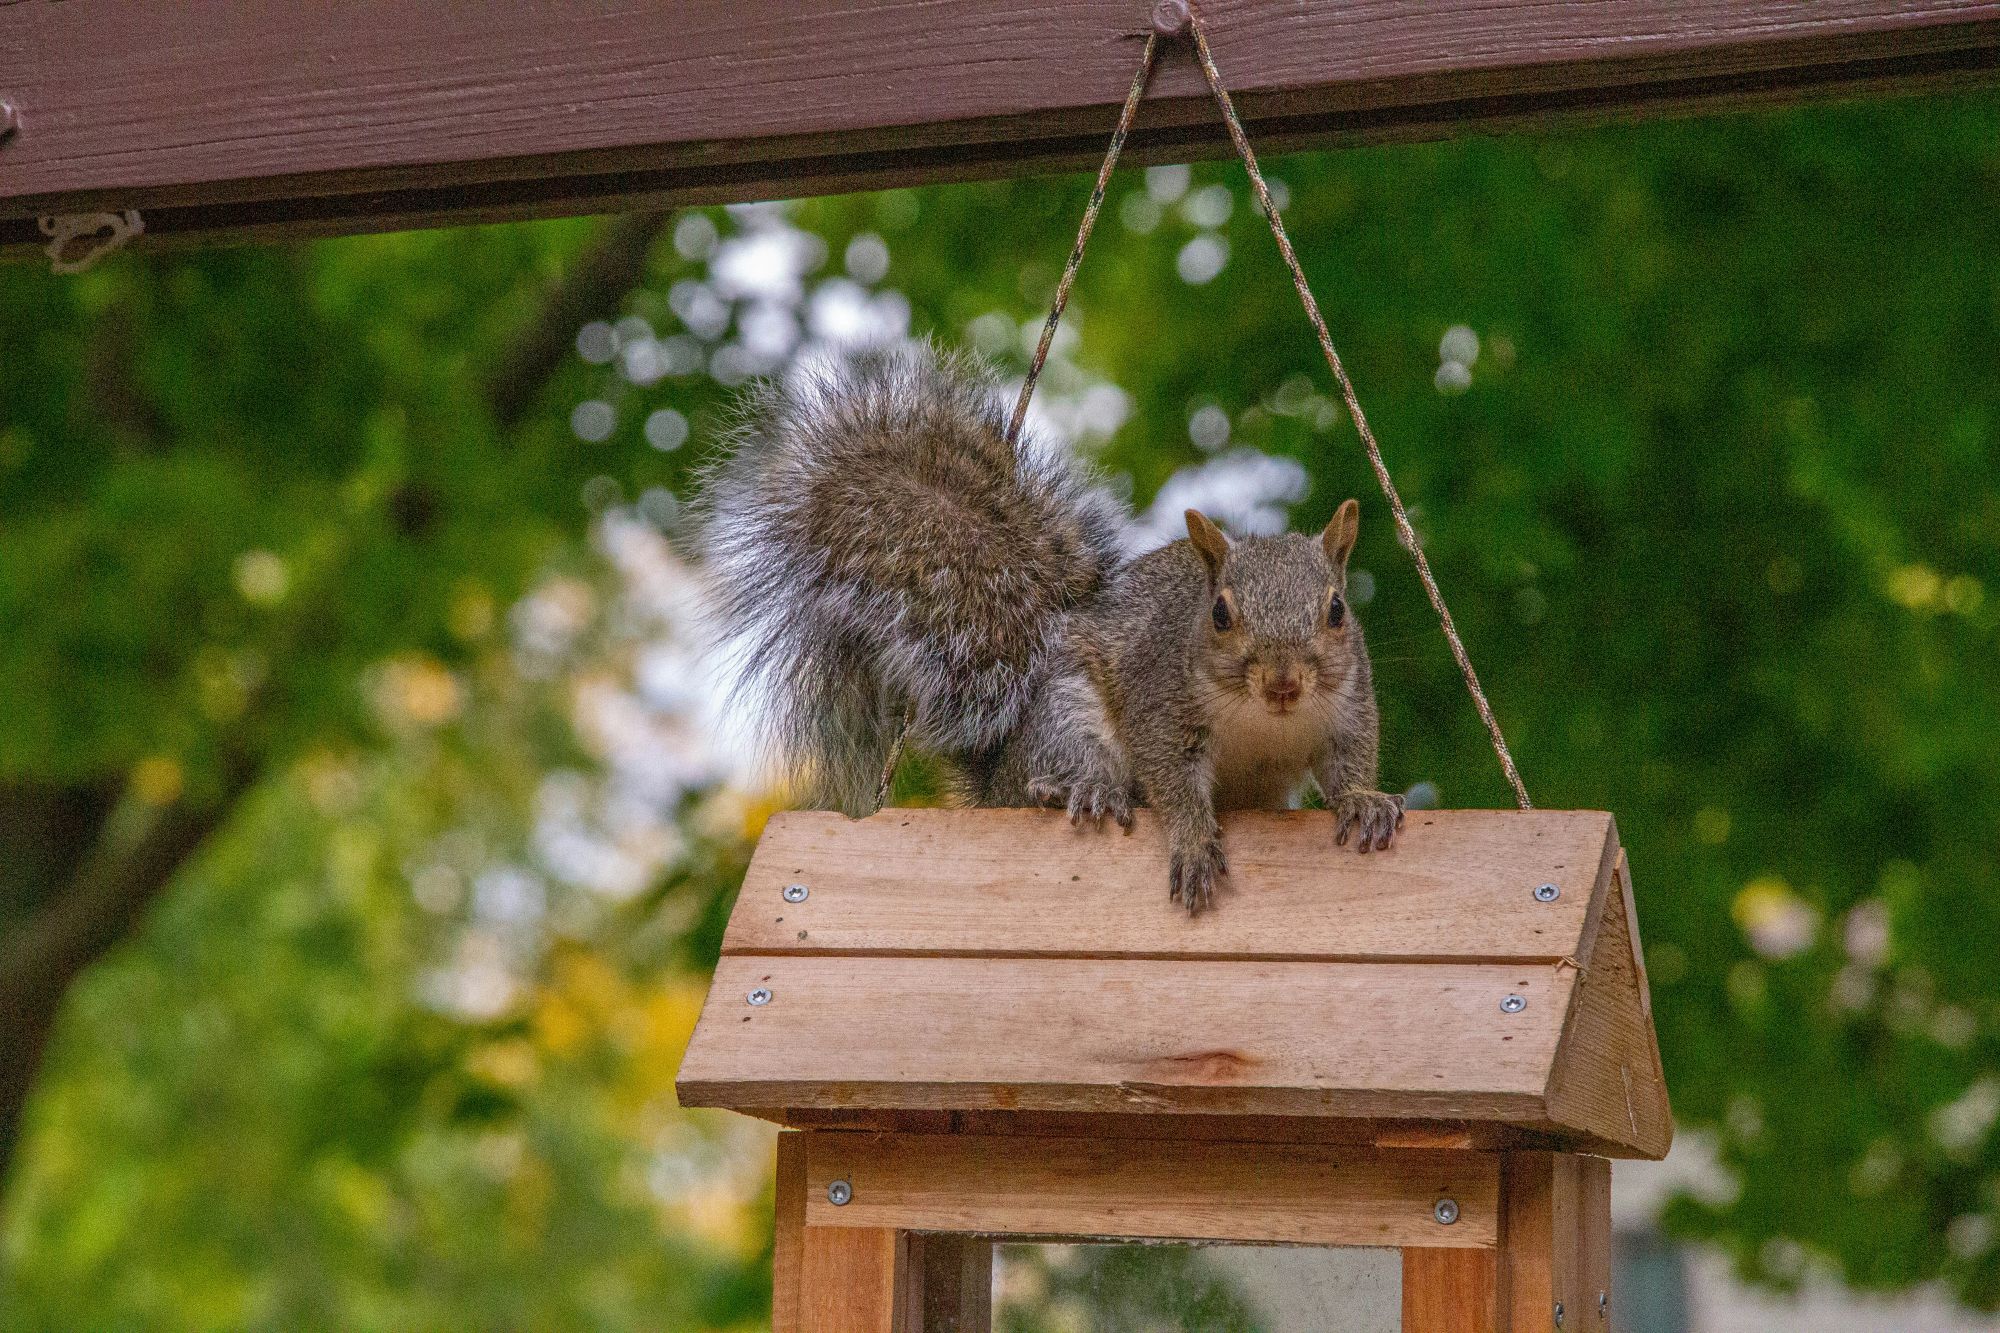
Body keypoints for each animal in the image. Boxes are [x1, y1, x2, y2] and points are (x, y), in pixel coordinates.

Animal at [698, 343, 1404, 913]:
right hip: (1063, 709)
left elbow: (1348, 760)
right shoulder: (1158, 695)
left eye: (1337, 610)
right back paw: (1073, 788)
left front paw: (1364, 801)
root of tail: (993, 781)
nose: (1284, 683)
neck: (1265, 722)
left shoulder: (1349, 703)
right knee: (1064, 766)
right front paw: (1192, 841)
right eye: (1220, 614)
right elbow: (1172, 779)